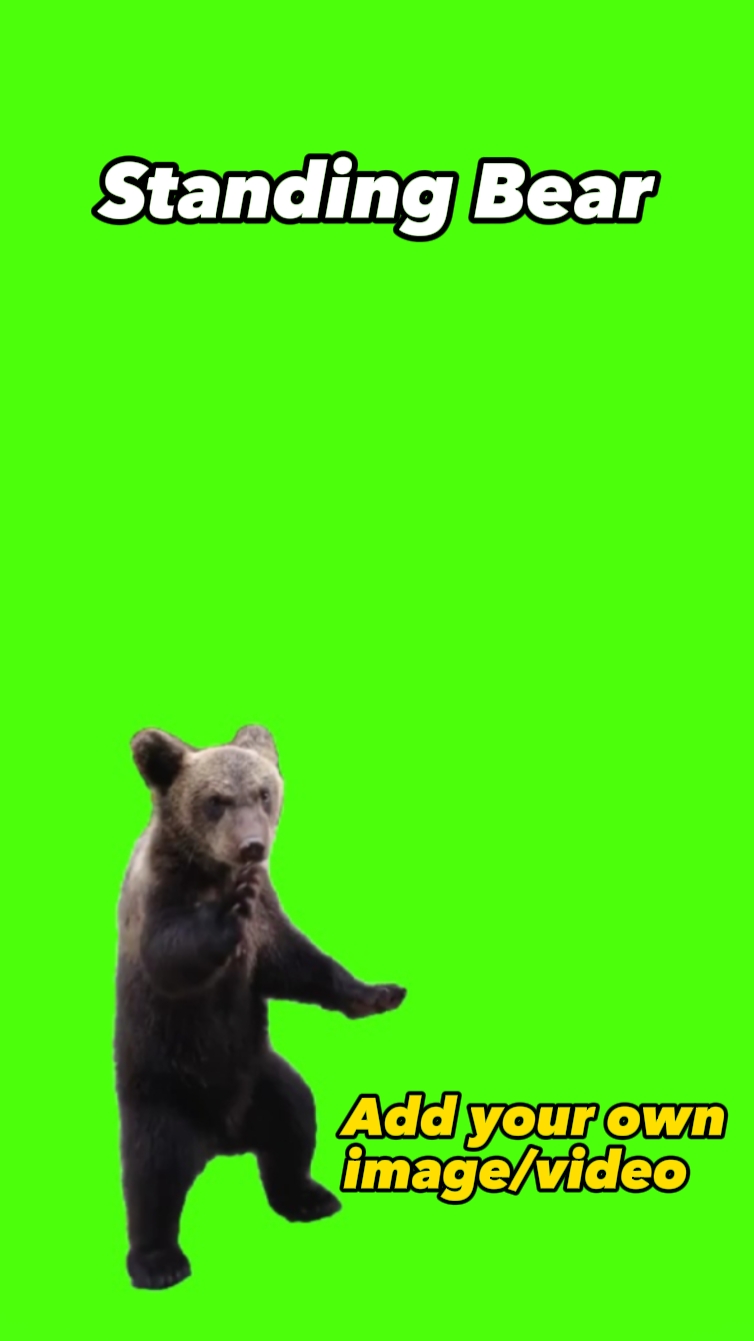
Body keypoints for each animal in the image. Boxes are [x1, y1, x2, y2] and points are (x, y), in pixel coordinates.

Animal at [115, 724, 406, 1290]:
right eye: (216, 800)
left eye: (264, 792)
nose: (253, 845)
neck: (210, 872)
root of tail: (221, 1139)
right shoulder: (161, 897)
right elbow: (172, 952)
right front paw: (228, 913)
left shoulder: (269, 926)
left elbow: (295, 963)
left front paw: (379, 993)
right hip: (162, 1090)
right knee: (152, 1173)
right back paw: (158, 1261)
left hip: (260, 1078)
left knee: (296, 1120)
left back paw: (308, 1196)